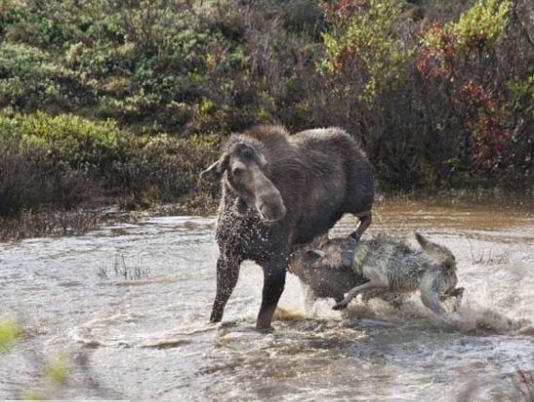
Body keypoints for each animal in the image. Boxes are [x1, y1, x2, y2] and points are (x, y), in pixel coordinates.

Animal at [203, 125, 374, 330]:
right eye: (237, 170)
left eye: (265, 165)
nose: (274, 206)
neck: (245, 222)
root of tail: (355, 143)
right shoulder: (228, 256)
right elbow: (216, 310)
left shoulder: (276, 262)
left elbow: (263, 320)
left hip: (359, 200)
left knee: (367, 217)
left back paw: (353, 237)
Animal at [288, 234, 464, 316]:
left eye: (323, 247)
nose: (309, 250)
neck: (355, 254)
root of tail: (447, 265)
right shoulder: (379, 285)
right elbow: (362, 293)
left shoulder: (379, 281)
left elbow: (355, 290)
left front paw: (342, 304)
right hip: (439, 294)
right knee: (459, 291)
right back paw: (456, 307)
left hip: (428, 297)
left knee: (445, 308)